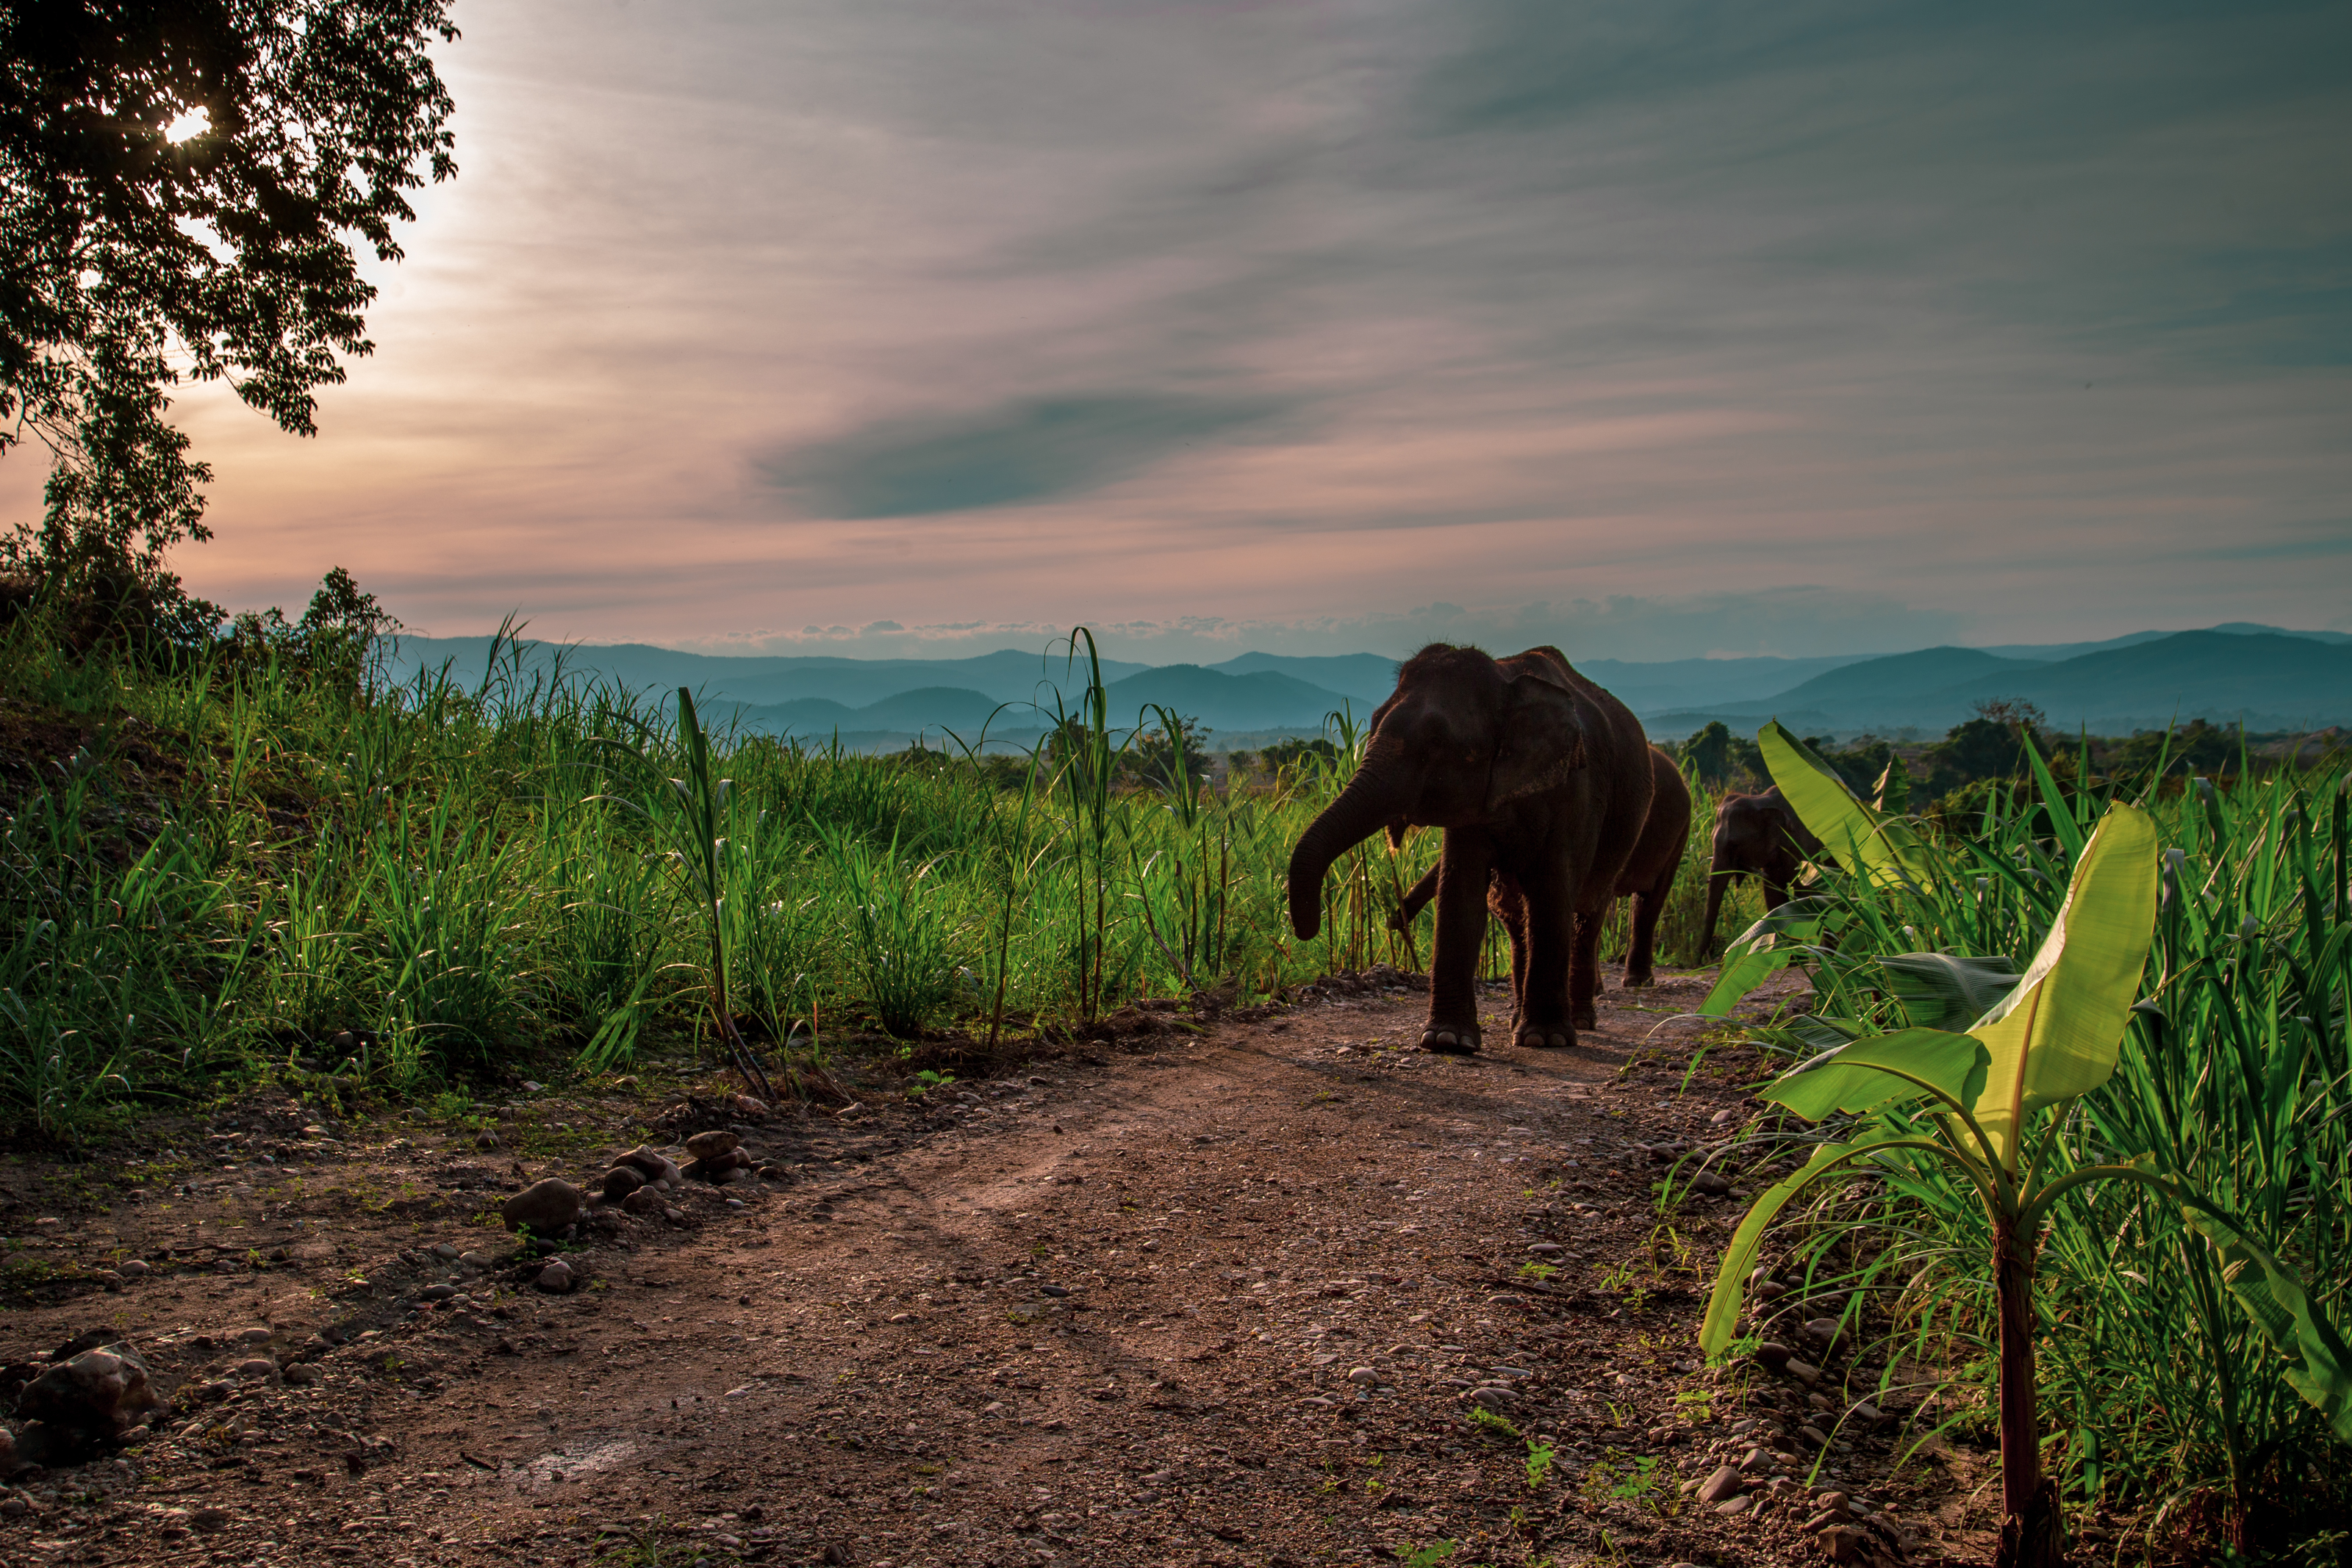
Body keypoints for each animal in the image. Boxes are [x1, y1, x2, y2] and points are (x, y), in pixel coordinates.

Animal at [1286, 644, 1658, 1054]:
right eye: (1374, 720)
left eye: (1437, 742)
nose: (1308, 929)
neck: (1506, 679)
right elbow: (1461, 894)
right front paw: (1446, 1040)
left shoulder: (1577, 790)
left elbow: (1551, 894)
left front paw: (1544, 1039)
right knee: (1517, 921)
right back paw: (1517, 1018)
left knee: (1586, 916)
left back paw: (1577, 1022)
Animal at [1698, 786, 1822, 953]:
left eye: (1733, 845)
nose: (1707, 955)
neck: (1761, 800)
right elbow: (1774, 898)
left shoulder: (1805, 848)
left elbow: (1806, 894)